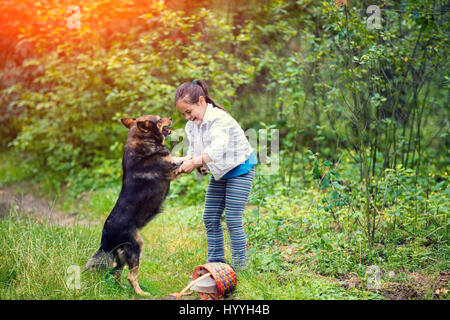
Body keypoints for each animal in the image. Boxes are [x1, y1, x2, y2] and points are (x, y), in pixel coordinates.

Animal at [84, 114, 181, 296]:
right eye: (159, 119)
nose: (171, 117)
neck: (144, 142)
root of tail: (105, 240)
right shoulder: (172, 169)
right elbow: (186, 159)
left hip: (122, 256)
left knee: (116, 272)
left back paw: (122, 289)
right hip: (136, 247)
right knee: (130, 276)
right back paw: (142, 294)